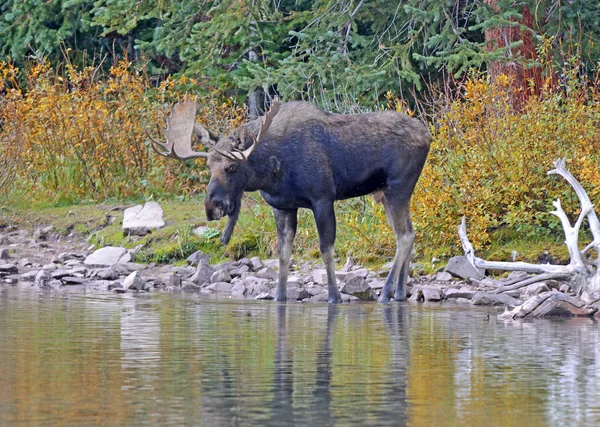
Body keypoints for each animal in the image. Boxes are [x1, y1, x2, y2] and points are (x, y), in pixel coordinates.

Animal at [150, 97, 432, 304]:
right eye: (209, 165)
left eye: (231, 167)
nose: (212, 208)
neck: (270, 172)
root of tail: (428, 135)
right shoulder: (282, 206)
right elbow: (283, 253)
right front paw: (279, 296)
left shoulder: (322, 197)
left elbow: (326, 249)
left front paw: (334, 296)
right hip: (386, 193)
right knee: (409, 233)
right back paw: (399, 293)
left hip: (398, 187)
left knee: (404, 236)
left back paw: (385, 293)